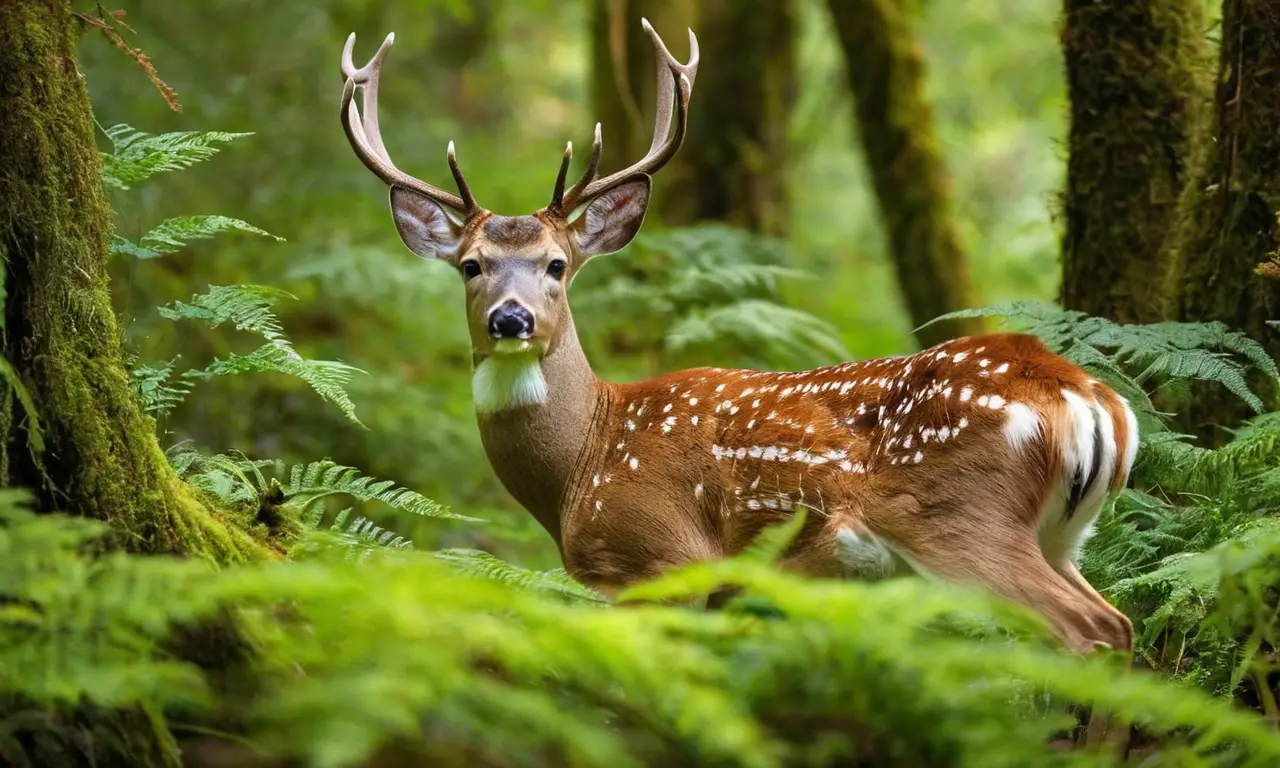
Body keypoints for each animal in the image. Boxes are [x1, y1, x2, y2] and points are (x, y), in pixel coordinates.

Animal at [337, 21, 1137, 656]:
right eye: (471, 265)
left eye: (557, 265)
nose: (512, 319)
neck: (581, 463)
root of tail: (1085, 396)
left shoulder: (663, 559)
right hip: (1064, 535)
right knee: (1122, 624)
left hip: (959, 520)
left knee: (1089, 630)